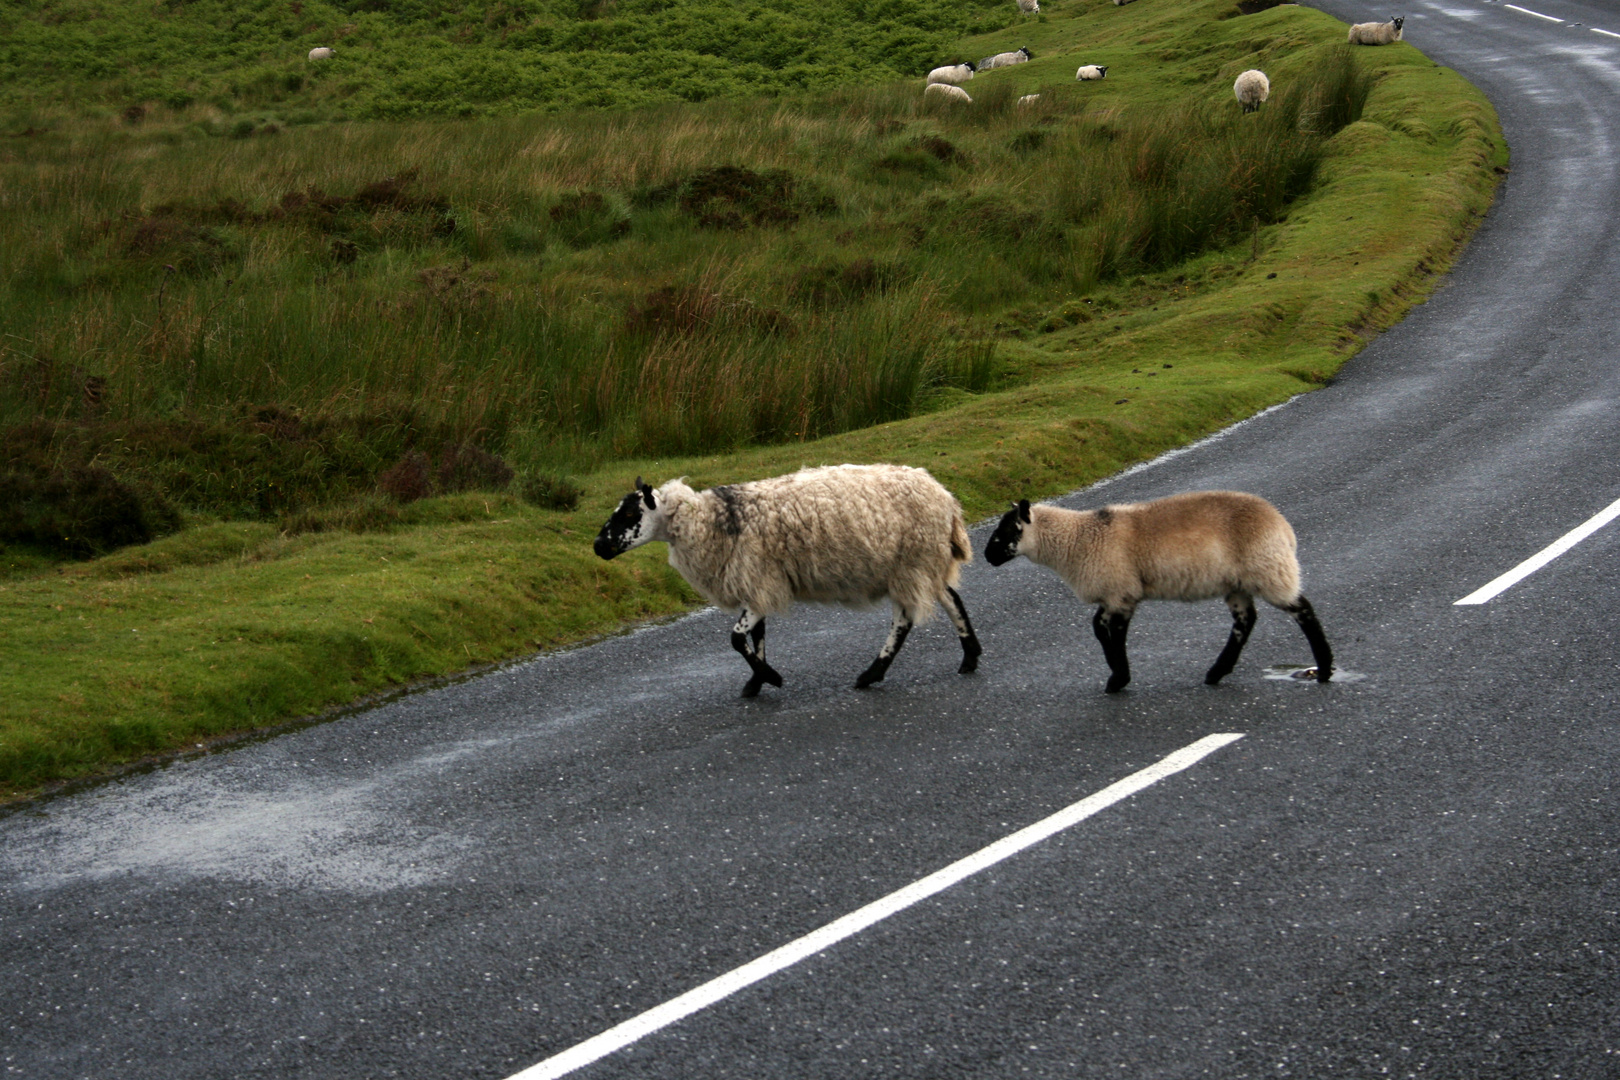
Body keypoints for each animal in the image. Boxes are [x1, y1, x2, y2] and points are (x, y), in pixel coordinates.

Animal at [978, 495, 1334, 696]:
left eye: (1007, 530)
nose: (986, 557)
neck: (1078, 538)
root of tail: (1281, 524)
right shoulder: (1113, 593)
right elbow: (1098, 628)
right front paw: (1115, 672)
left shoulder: (1121, 592)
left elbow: (1115, 634)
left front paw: (1118, 678)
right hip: (1239, 583)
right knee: (1246, 621)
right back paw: (1216, 672)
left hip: (1268, 568)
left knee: (1303, 610)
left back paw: (1325, 668)